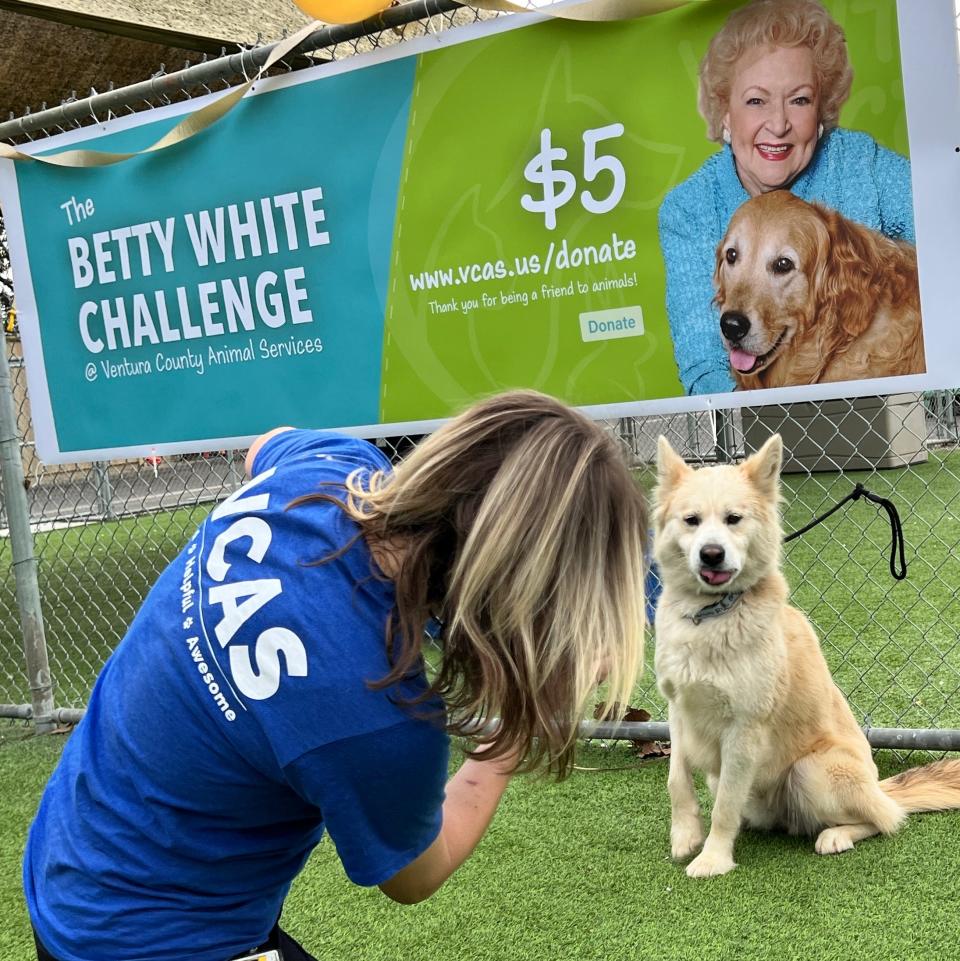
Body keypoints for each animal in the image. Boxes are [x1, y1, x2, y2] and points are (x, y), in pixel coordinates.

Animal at [652, 436, 960, 876]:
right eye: (691, 520)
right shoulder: (678, 710)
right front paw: (685, 837)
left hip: (812, 770)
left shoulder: (744, 730)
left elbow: (725, 806)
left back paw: (837, 835)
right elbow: (677, 781)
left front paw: (713, 858)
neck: (711, 615)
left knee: (885, 818)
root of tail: (879, 787)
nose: (711, 554)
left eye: (733, 519)